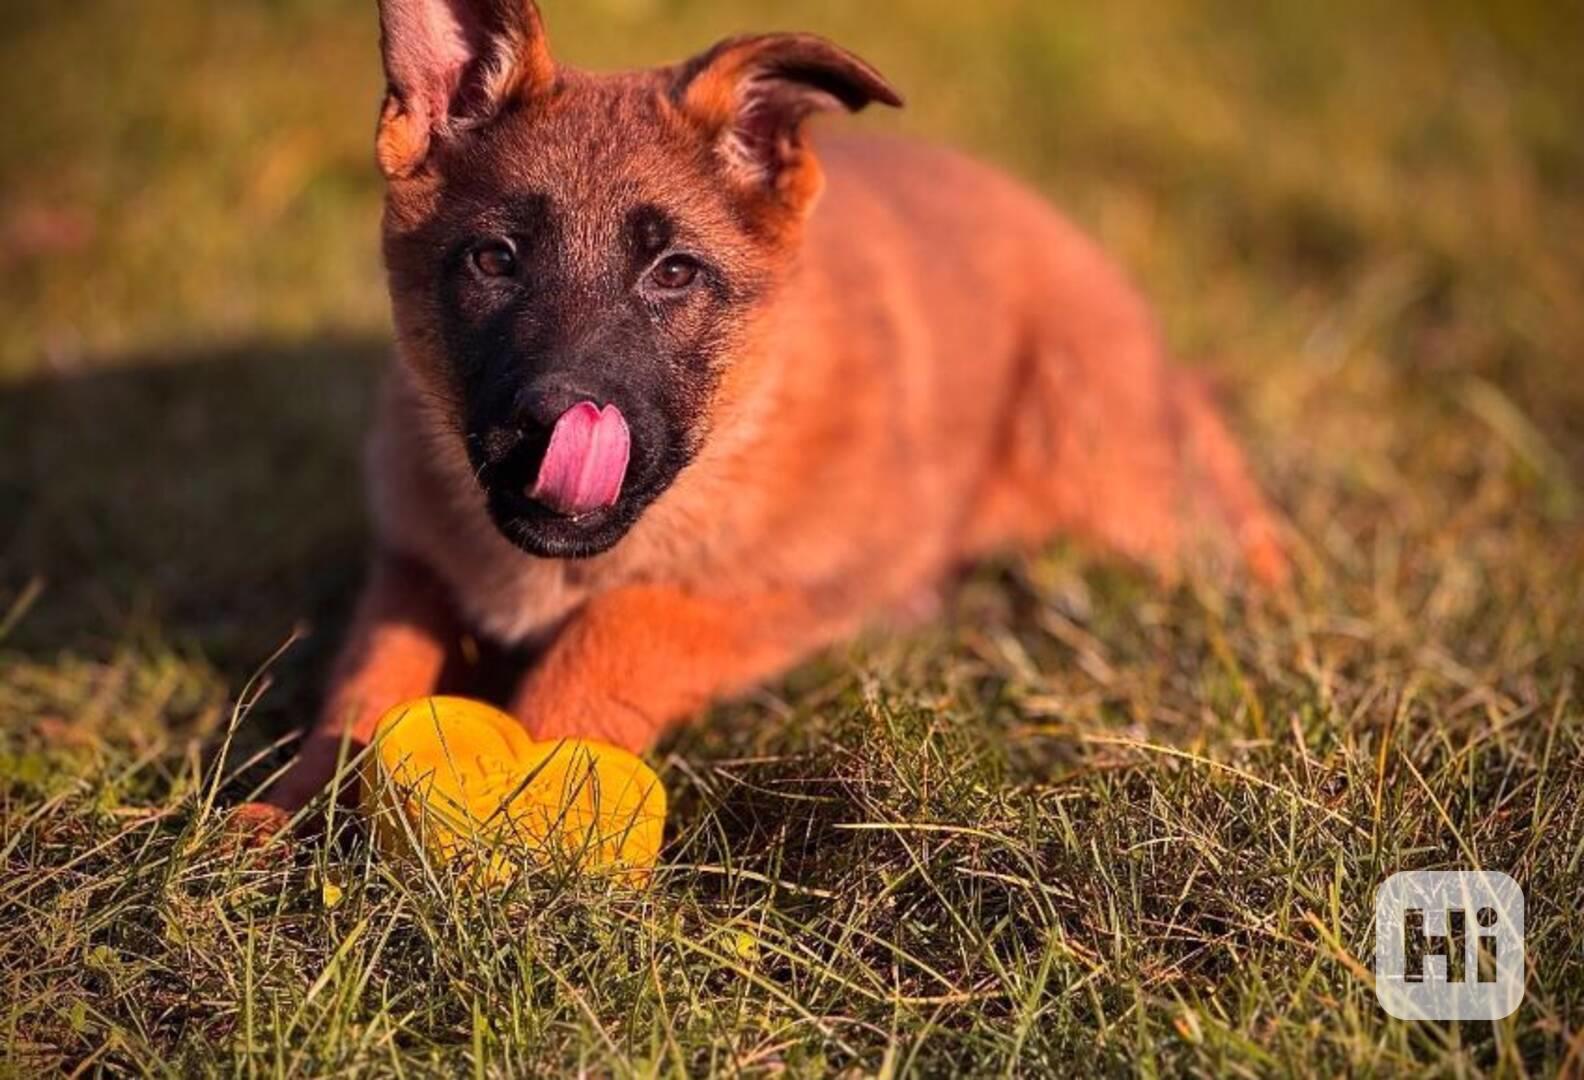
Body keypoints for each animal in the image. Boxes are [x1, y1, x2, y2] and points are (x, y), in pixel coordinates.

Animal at [234, 0, 1279, 829]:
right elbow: (365, 681)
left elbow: (624, 625)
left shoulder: (791, 578)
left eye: (674, 273)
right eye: (494, 260)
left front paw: (525, 787)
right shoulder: (412, 559)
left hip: (1112, 477)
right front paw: (283, 814)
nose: (556, 424)